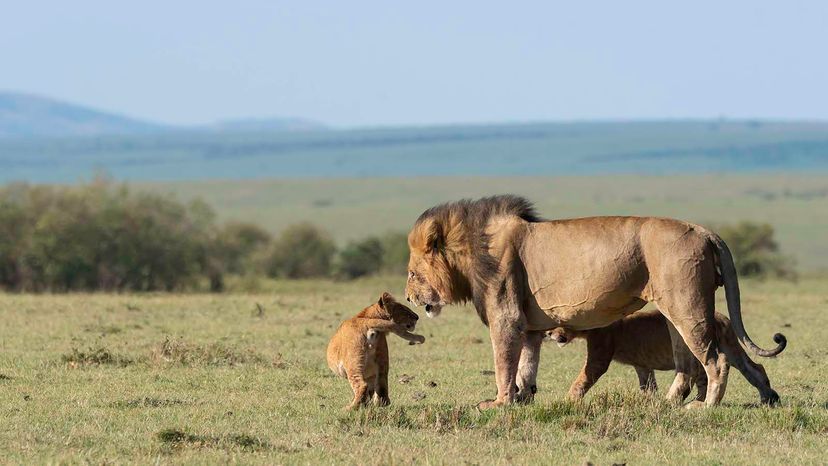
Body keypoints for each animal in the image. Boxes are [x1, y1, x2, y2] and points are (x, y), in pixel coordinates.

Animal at [548, 310, 780, 404]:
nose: (550, 334)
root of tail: (723, 317)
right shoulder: (642, 365)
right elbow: (648, 385)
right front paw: (648, 401)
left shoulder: (599, 357)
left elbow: (582, 380)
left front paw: (567, 401)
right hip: (731, 347)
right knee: (754, 368)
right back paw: (768, 397)